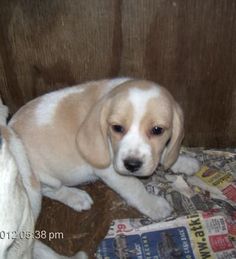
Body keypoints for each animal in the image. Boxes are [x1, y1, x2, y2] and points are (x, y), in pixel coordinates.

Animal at [9, 78, 199, 221]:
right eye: (117, 128)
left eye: (157, 130)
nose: (132, 165)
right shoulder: (111, 171)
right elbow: (135, 187)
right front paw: (153, 205)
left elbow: (164, 153)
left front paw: (183, 162)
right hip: (41, 179)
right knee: (50, 190)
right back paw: (76, 197)